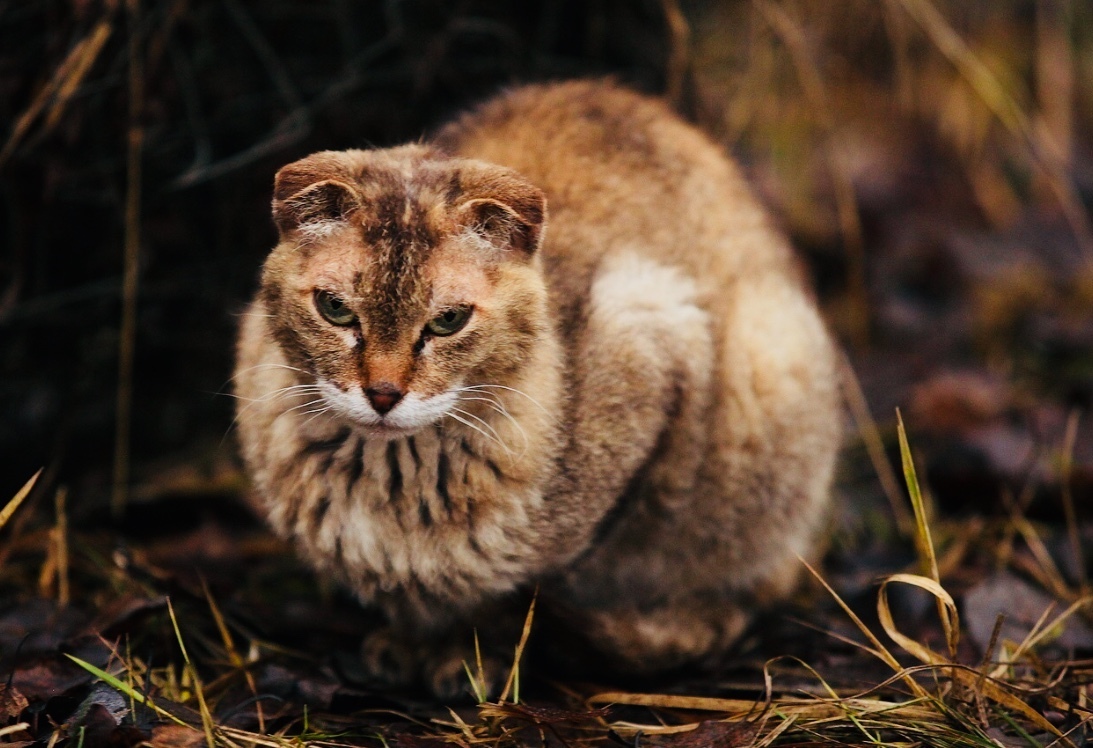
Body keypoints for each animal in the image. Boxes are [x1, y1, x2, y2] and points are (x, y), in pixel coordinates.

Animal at [234, 80, 839, 695]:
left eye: (448, 320)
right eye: (334, 308)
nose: (382, 394)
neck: (394, 480)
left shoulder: (653, 327)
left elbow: (517, 592)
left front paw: (470, 659)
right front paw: (410, 645)